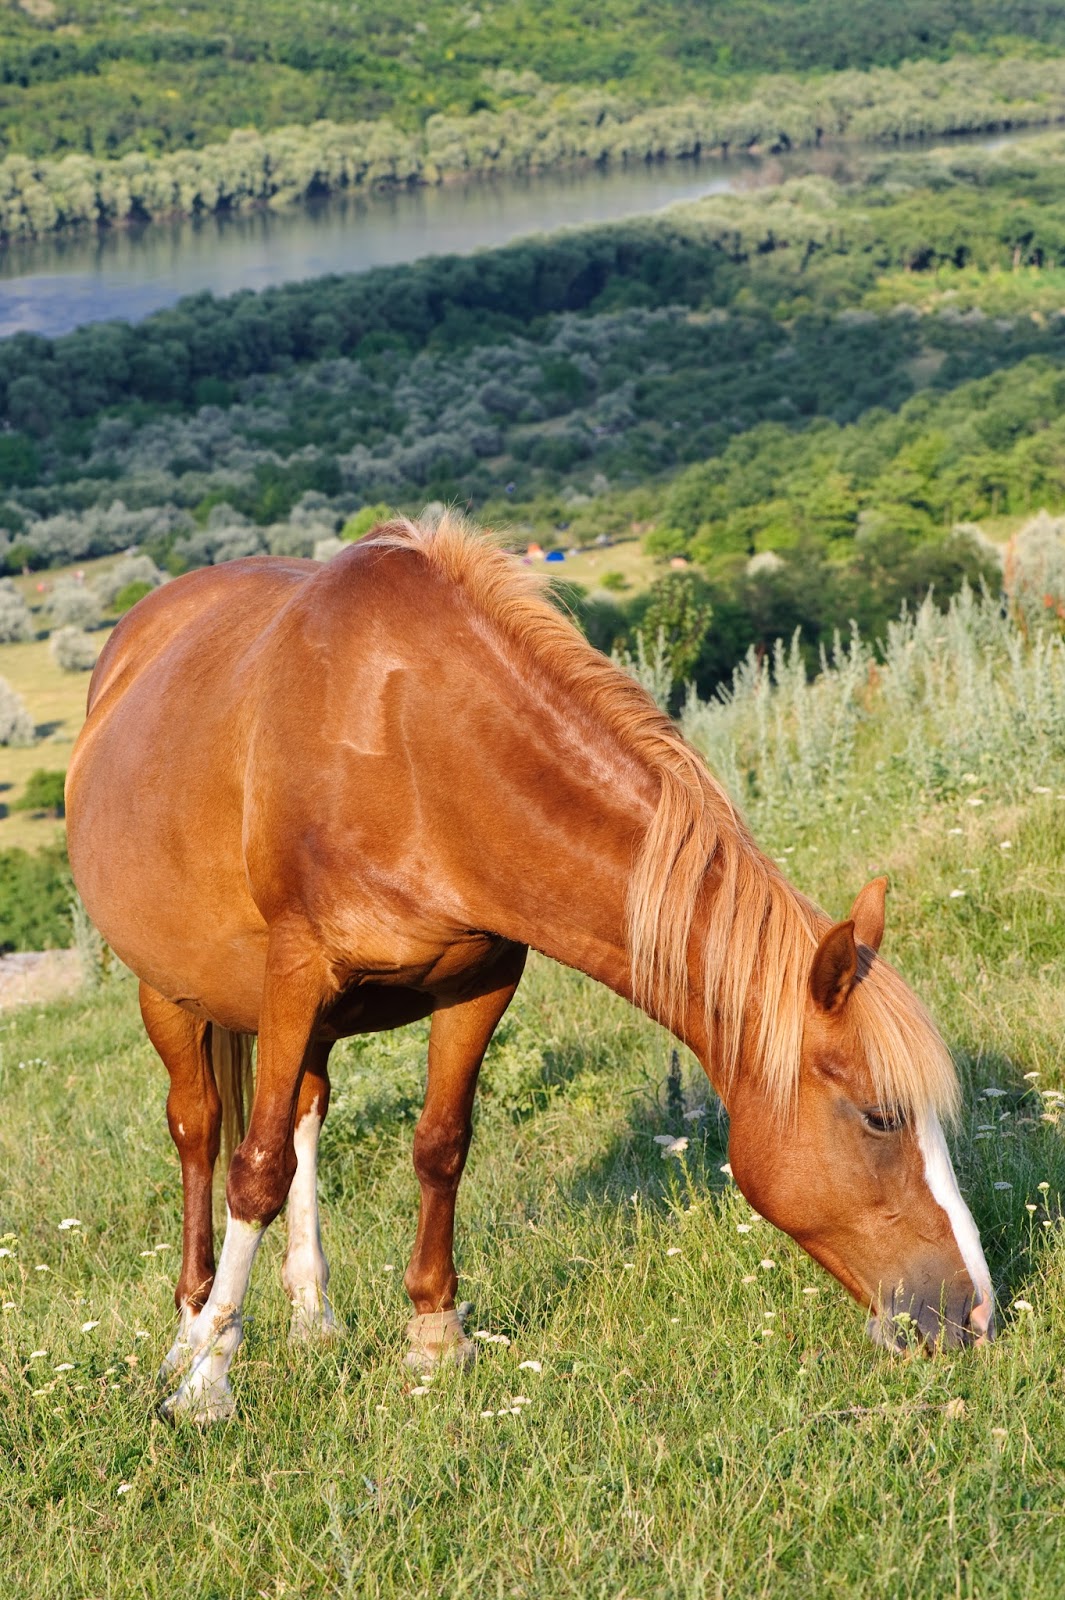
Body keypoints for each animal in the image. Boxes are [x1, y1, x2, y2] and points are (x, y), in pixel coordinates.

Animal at [65, 515, 994, 1423]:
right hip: (174, 995)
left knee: (305, 1114)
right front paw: (208, 1384)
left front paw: (434, 1337)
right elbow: (253, 1173)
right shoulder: (297, 973)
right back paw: (190, 1329)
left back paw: (313, 1316)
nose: (974, 1312)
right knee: (201, 1134)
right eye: (879, 1117)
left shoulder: (477, 982)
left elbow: (439, 1146)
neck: (411, 745)